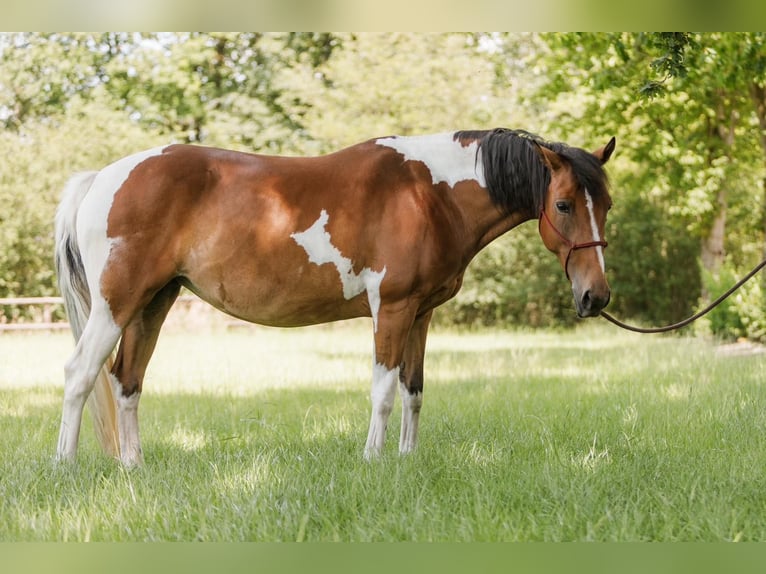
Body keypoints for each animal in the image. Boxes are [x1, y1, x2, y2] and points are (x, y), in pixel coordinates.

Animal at [54, 128, 616, 466]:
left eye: (606, 204)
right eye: (563, 205)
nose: (596, 296)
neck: (429, 193)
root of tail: (101, 178)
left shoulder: (421, 314)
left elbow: (413, 390)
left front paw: (406, 461)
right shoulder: (391, 308)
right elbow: (383, 390)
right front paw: (372, 459)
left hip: (153, 303)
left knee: (127, 380)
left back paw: (133, 466)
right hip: (116, 305)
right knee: (81, 374)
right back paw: (65, 465)